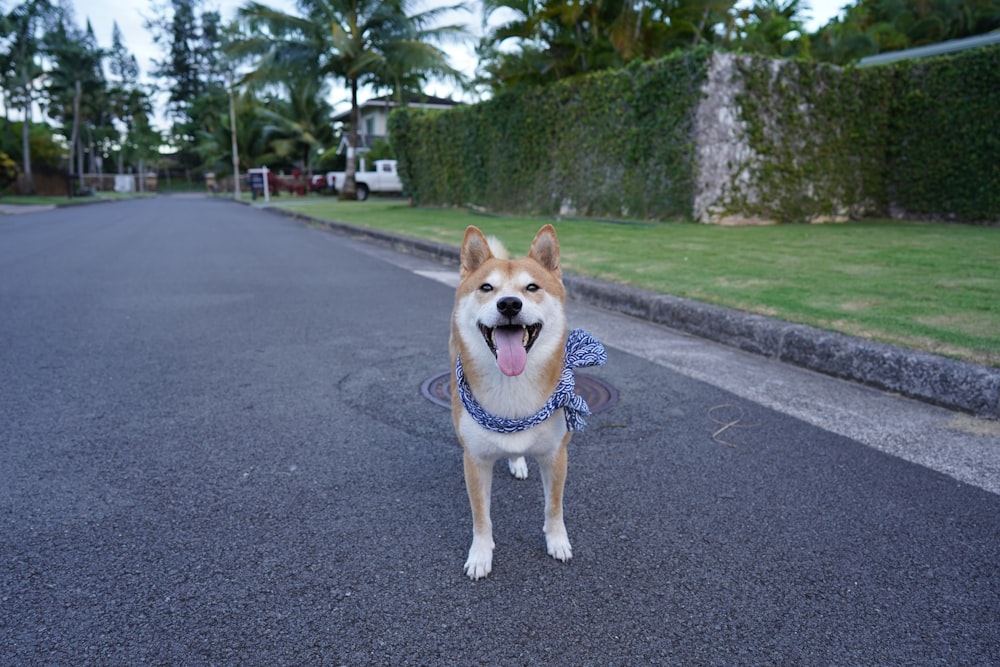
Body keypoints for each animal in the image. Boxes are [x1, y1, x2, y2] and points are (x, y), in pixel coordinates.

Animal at [452, 226, 604, 580]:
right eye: (487, 287)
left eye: (531, 287)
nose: (509, 303)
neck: (513, 391)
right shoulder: (475, 461)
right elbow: (481, 516)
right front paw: (480, 554)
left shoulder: (556, 455)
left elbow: (554, 506)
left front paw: (557, 542)